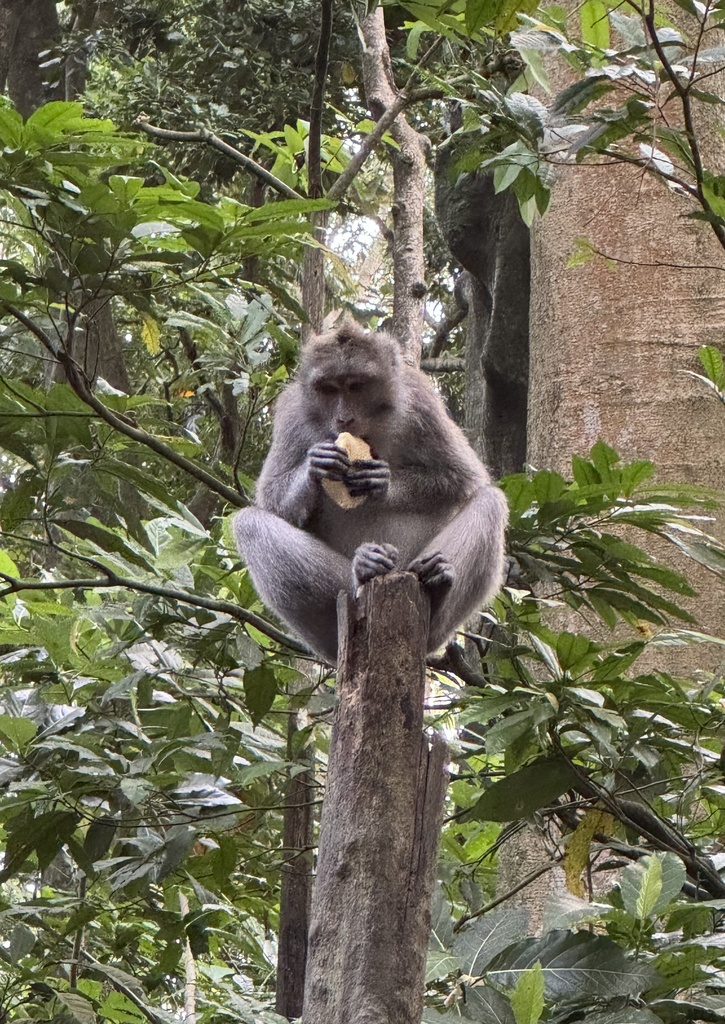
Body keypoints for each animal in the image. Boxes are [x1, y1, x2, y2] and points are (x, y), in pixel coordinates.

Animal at [233, 322, 508, 665]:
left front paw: (381, 482)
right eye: (329, 389)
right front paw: (315, 466)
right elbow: (272, 501)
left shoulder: (420, 400)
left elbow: (463, 478)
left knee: (490, 502)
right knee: (249, 524)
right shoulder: (292, 415)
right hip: (340, 602)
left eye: (355, 386)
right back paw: (363, 570)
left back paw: (437, 592)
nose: (343, 418)